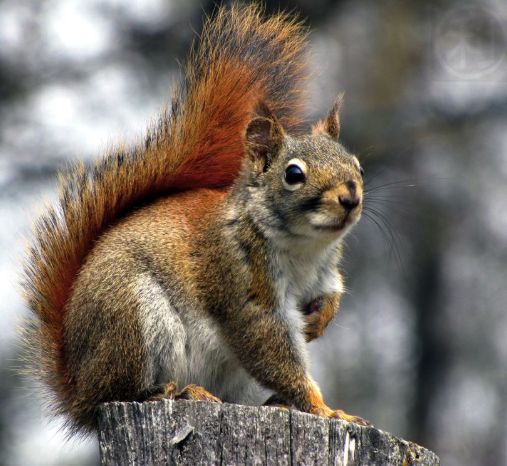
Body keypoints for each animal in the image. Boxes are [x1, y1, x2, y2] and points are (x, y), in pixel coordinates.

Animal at [21, 4, 368, 434]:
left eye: (357, 165)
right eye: (293, 174)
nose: (350, 197)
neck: (305, 246)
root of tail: (78, 388)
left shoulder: (322, 273)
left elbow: (332, 294)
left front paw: (318, 322)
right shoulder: (242, 284)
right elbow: (269, 346)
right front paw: (324, 409)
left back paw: (271, 403)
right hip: (131, 318)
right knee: (121, 390)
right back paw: (177, 392)